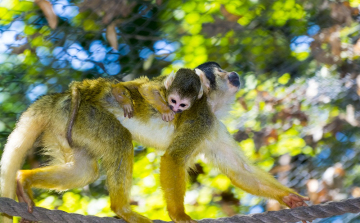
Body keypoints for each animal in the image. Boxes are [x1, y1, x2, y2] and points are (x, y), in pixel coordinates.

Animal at [0, 61, 310, 223]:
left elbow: (238, 170)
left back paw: (24, 179)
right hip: (84, 115)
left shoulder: (212, 126)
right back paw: (122, 209)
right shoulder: (201, 119)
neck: (210, 105)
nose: (232, 73)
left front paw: (289, 198)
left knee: (84, 170)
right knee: (119, 141)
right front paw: (180, 215)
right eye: (220, 72)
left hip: (65, 128)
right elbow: (173, 158)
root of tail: (57, 98)